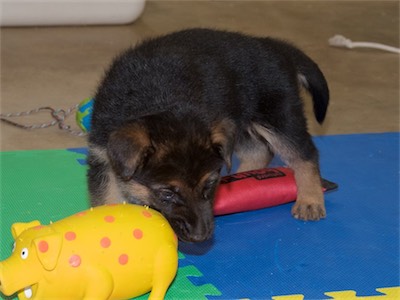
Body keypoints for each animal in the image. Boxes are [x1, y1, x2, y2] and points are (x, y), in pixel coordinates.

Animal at [86, 28, 328, 243]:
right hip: (242, 122)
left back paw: (310, 199)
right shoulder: (103, 157)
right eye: (167, 193)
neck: (155, 100)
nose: (200, 236)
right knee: (260, 151)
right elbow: (106, 196)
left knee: (305, 154)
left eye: (210, 184)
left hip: (278, 117)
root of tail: (275, 46)